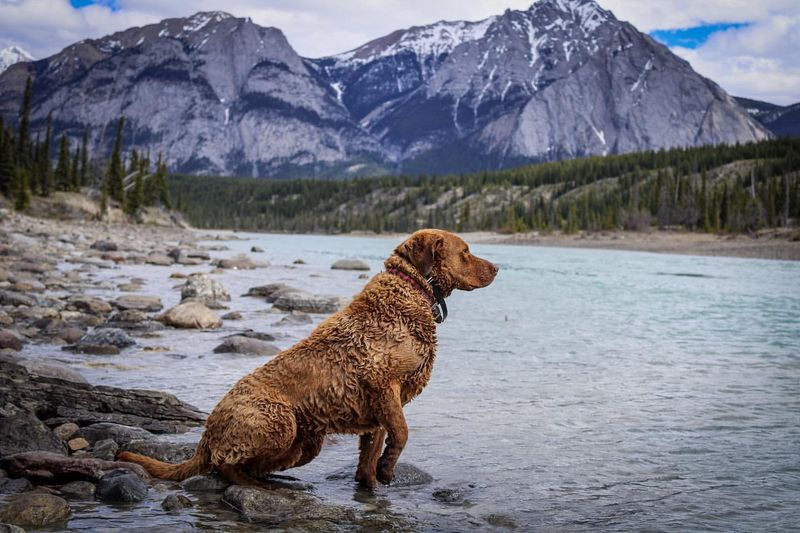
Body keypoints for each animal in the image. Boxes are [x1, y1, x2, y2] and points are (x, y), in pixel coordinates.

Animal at [119, 229, 496, 486]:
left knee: (251, 465)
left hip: (304, 444)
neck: (412, 290)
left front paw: (372, 482)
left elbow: (369, 457)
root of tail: (206, 434)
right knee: (225, 465)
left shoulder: (378, 412)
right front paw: (388, 469)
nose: (497, 268)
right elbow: (401, 434)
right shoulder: (383, 384)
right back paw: (257, 486)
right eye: (466, 251)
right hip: (278, 420)